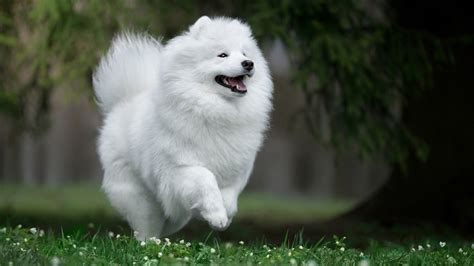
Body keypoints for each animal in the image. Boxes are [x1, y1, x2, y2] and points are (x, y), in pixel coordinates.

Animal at [92, 15, 272, 240]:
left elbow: (230, 197)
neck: (215, 110)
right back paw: (149, 243)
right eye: (222, 55)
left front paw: (224, 214)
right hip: (140, 199)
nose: (248, 63)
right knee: (145, 227)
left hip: (175, 218)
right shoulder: (178, 170)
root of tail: (121, 103)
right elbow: (206, 178)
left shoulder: (237, 169)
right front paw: (216, 215)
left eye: (245, 54)